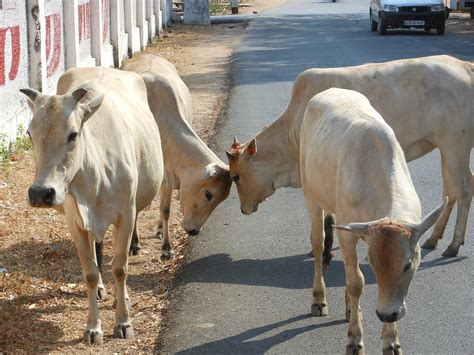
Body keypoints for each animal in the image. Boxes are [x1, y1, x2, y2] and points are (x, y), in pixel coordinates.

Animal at [21, 66, 164, 344]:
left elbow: (120, 268)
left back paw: (122, 298)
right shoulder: (75, 222)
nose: (40, 193)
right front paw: (93, 328)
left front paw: (123, 322)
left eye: (73, 134)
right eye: (30, 134)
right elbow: (89, 272)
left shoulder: (126, 215)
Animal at [120, 55, 231, 260]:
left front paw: (166, 247)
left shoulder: (167, 177)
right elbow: (138, 208)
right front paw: (134, 243)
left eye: (222, 199)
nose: (194, 231)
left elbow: (165, 210)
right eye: (208, 194)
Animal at [228, 54, 472, 258]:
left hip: (456, 145)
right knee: (450, 191)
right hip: (445, 147)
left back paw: (454, 244)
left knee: (464, 189)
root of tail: (466, 66)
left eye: (236, 176)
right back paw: (433, 238)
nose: (243, 209)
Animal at [298, 88, 446, 354]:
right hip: (311, 195)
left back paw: (350, 310)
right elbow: (356, 282)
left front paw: (391, 341)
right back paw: (318, 299)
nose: (387, 314)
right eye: (373, 263)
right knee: (318, 244)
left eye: (408, 265)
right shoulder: (347, 233)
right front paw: (354, 340)